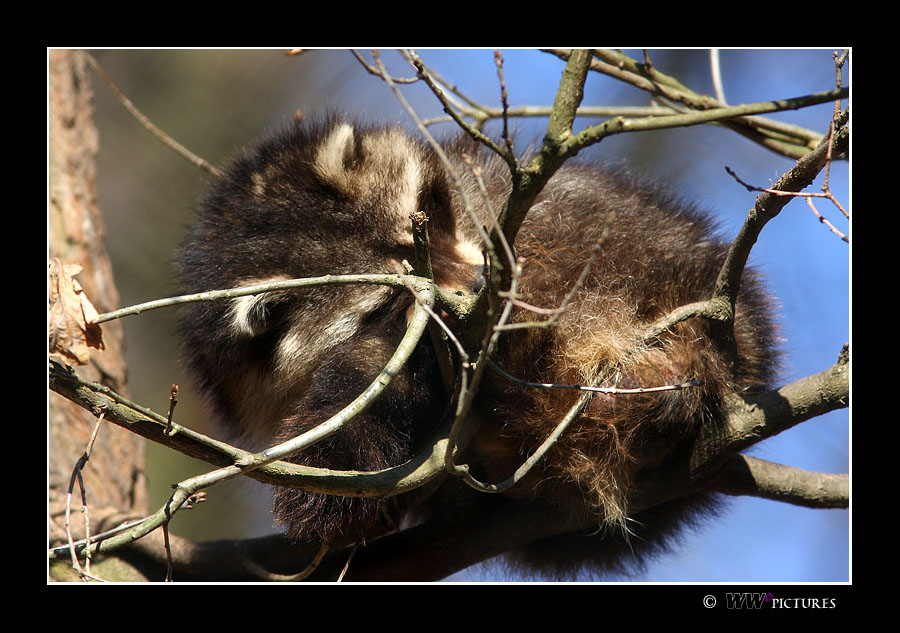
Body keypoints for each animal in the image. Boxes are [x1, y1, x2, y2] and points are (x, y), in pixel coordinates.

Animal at [174, 116, 772, 576]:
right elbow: (347, 488)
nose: (484, 289)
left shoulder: (484, 190)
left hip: (646, 253)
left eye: (425, 225)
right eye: (388, 300)